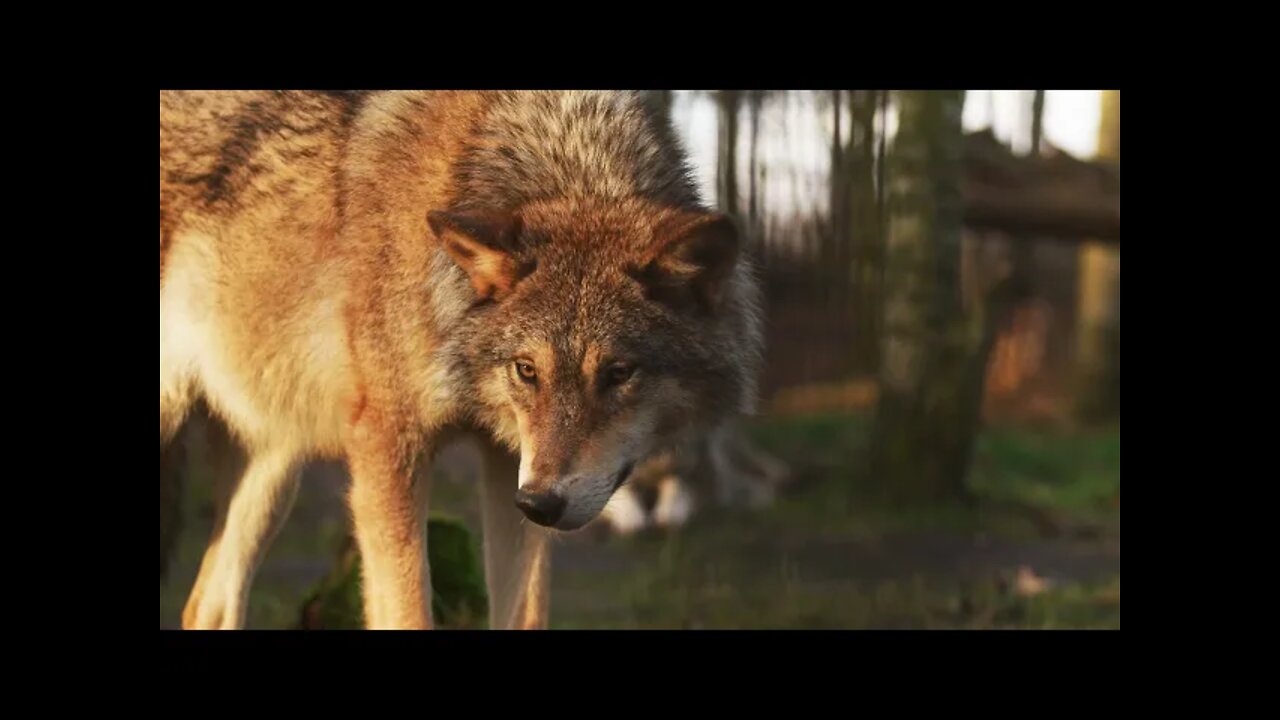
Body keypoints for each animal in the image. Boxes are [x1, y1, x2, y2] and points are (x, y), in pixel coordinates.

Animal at [158, 90, 757, 627]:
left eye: (618, 373)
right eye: (527, 370)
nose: (543, 505)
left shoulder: (511, 465)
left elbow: (524, 614)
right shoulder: (388, 447)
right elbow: (407, 613)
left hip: (274, 466)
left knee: (206, 606)